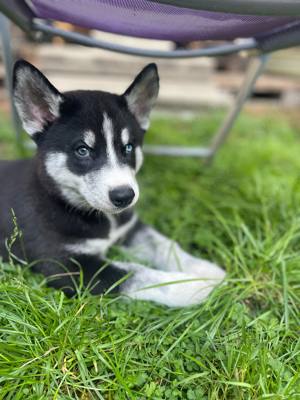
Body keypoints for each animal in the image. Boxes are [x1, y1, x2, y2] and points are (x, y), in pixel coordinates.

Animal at [0, 59, 225, 306]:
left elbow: (165, 245)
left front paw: (206, 270)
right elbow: (138, 274)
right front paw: (196, 286)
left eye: (128, 148)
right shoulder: (65, 266)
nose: (124, 197)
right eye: (82, 151)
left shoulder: (131, 228)